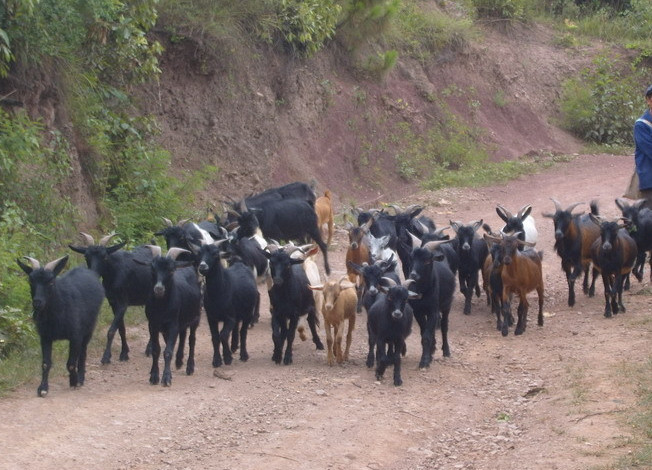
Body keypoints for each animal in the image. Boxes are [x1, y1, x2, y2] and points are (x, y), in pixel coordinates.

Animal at [16, 253, 104, 396]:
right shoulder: (45, 337)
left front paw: (74, 382)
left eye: (51, 282)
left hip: (89, 327)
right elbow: (46, 363)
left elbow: (71, 363)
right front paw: (43, 388)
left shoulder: (76, 336)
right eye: (30, 281)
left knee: (83, 352)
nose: (37, 302)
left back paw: (81, 378)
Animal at [68, 231, 153, 364]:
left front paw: (106, 357)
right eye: (86, 257)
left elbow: (111, 330)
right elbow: (121, 329)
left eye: (105, 257)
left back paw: (149, 349)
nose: (93, 275)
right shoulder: (113, 303)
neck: (113, 272)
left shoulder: (123, 303)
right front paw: (124, 352)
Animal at [140, 246, 204, 386]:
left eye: (170, 270)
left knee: (191, 339)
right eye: (152, 269)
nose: (158, 289)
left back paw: (190, 367)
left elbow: (168, 352)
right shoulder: (152, 324)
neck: (161, 307)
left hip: (195, 317)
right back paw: (179, 360)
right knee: (182, 336)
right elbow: (156, 350)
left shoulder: (172, 324)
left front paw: (166, 378)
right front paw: (154, 376)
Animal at [408, 241, 454, 370]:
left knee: (444, 326)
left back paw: (446, 351)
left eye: (427, 261)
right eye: (412, 258)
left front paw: (424, 361)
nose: (413, 274)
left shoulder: (433, 310)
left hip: (447, 305)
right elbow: (424, 333)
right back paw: (433, 349)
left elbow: (427, 336)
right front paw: (429, 355)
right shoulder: (418, 312)